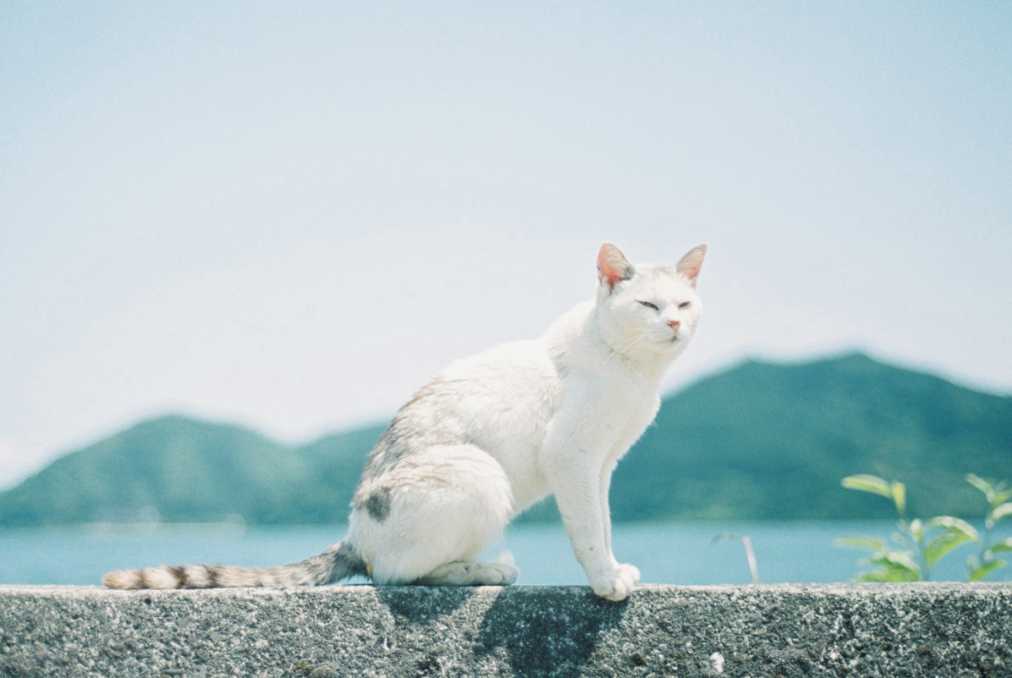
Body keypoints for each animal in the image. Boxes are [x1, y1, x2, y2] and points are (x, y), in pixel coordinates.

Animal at [102, 241, 704, 603]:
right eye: (648, 305)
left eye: (684, 303)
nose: (675, 324)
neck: (632, 371)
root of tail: (354, 530)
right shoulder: (571, 456)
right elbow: (587, 530)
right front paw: (603, 580)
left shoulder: (602, 465)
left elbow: (603, 521)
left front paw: (614, 566)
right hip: (478, 473)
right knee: (394, 573)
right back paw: (483, 570)